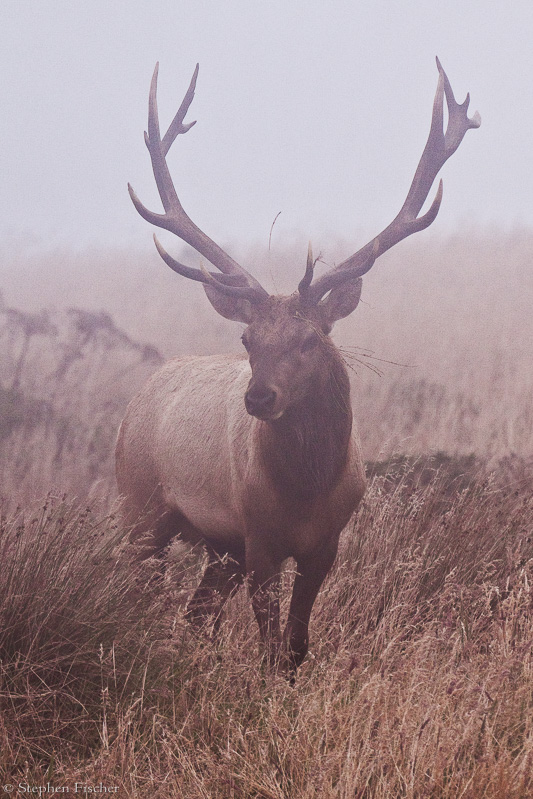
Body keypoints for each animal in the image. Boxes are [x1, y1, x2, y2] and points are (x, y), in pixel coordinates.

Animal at [115, 59, 478, 672]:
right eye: (247, 337)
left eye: (311, 338)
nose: (259, 398)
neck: (306, 492)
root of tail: (136, 400)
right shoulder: (258, 538)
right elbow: (268, 645)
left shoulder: (324, 544)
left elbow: (297, 645)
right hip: (138, 506)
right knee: (136, 588)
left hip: (219, 547)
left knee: (197, 614)